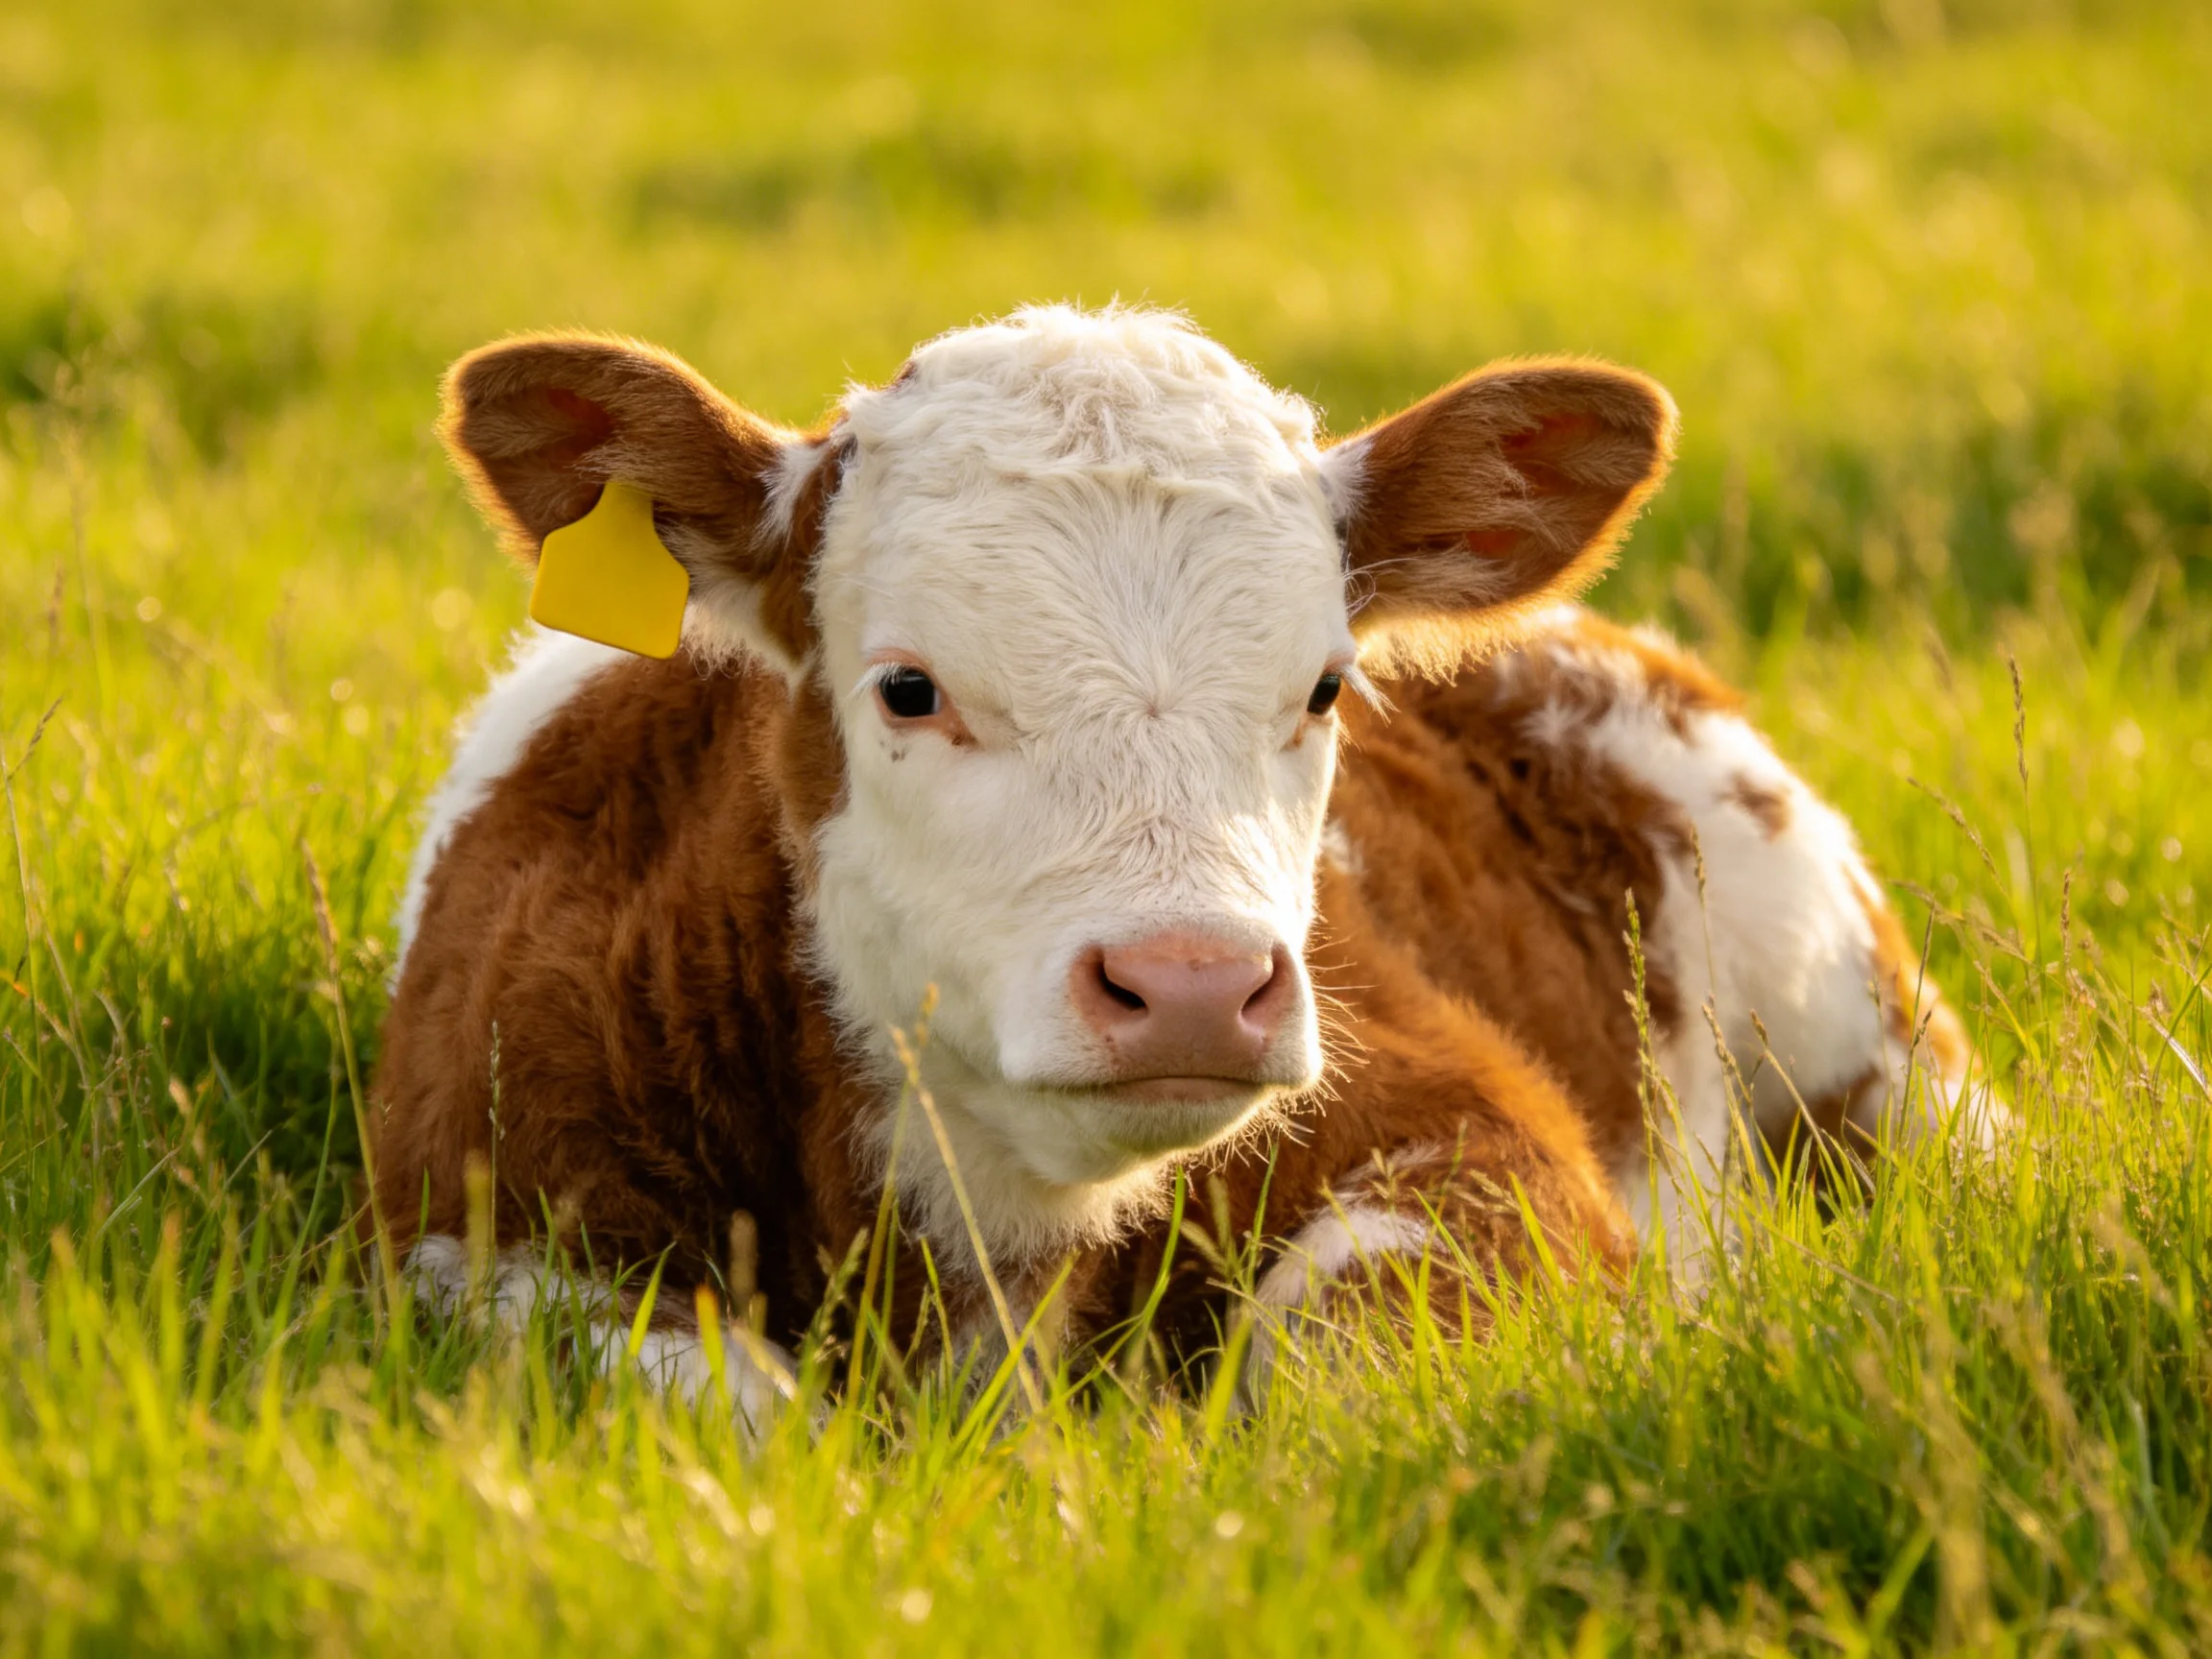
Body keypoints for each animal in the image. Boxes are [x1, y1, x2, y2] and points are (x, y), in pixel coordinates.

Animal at [374, 305, 1997, 1426]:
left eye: (1327, 686)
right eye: (907, 687)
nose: (1195, 985)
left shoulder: (1493, 1150)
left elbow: (1337, 1355)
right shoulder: (470, 1221)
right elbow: (735, 1411)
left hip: (1880, 1052)